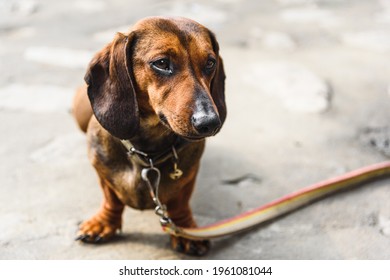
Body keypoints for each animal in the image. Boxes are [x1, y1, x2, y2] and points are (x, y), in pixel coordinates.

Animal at [72, 15, 227, 256]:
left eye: (210, 63)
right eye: (162, 63)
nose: (209, 123)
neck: (147, 153)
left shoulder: (189, 174)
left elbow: (180, 202)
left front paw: (185, 229)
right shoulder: (101, 167)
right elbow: (111, 198)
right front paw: (104, 223)